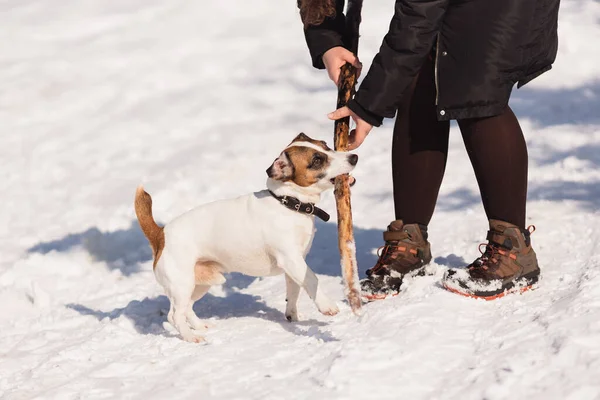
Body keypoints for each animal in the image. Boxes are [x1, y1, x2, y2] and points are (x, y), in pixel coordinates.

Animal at [135, 134, 356, 340]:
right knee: (174, 315)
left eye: (325, 145)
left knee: (187, 308)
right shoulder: (291, 259)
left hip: (201, 283)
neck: (287, 203)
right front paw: (327, 306)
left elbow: (294, 292)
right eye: (317, 160)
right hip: (182, 284)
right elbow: (312, 279)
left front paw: (293, 317)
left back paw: (200, 327)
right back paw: (192, 337)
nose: (354, 157)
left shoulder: (295, 266)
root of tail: (160, 234)